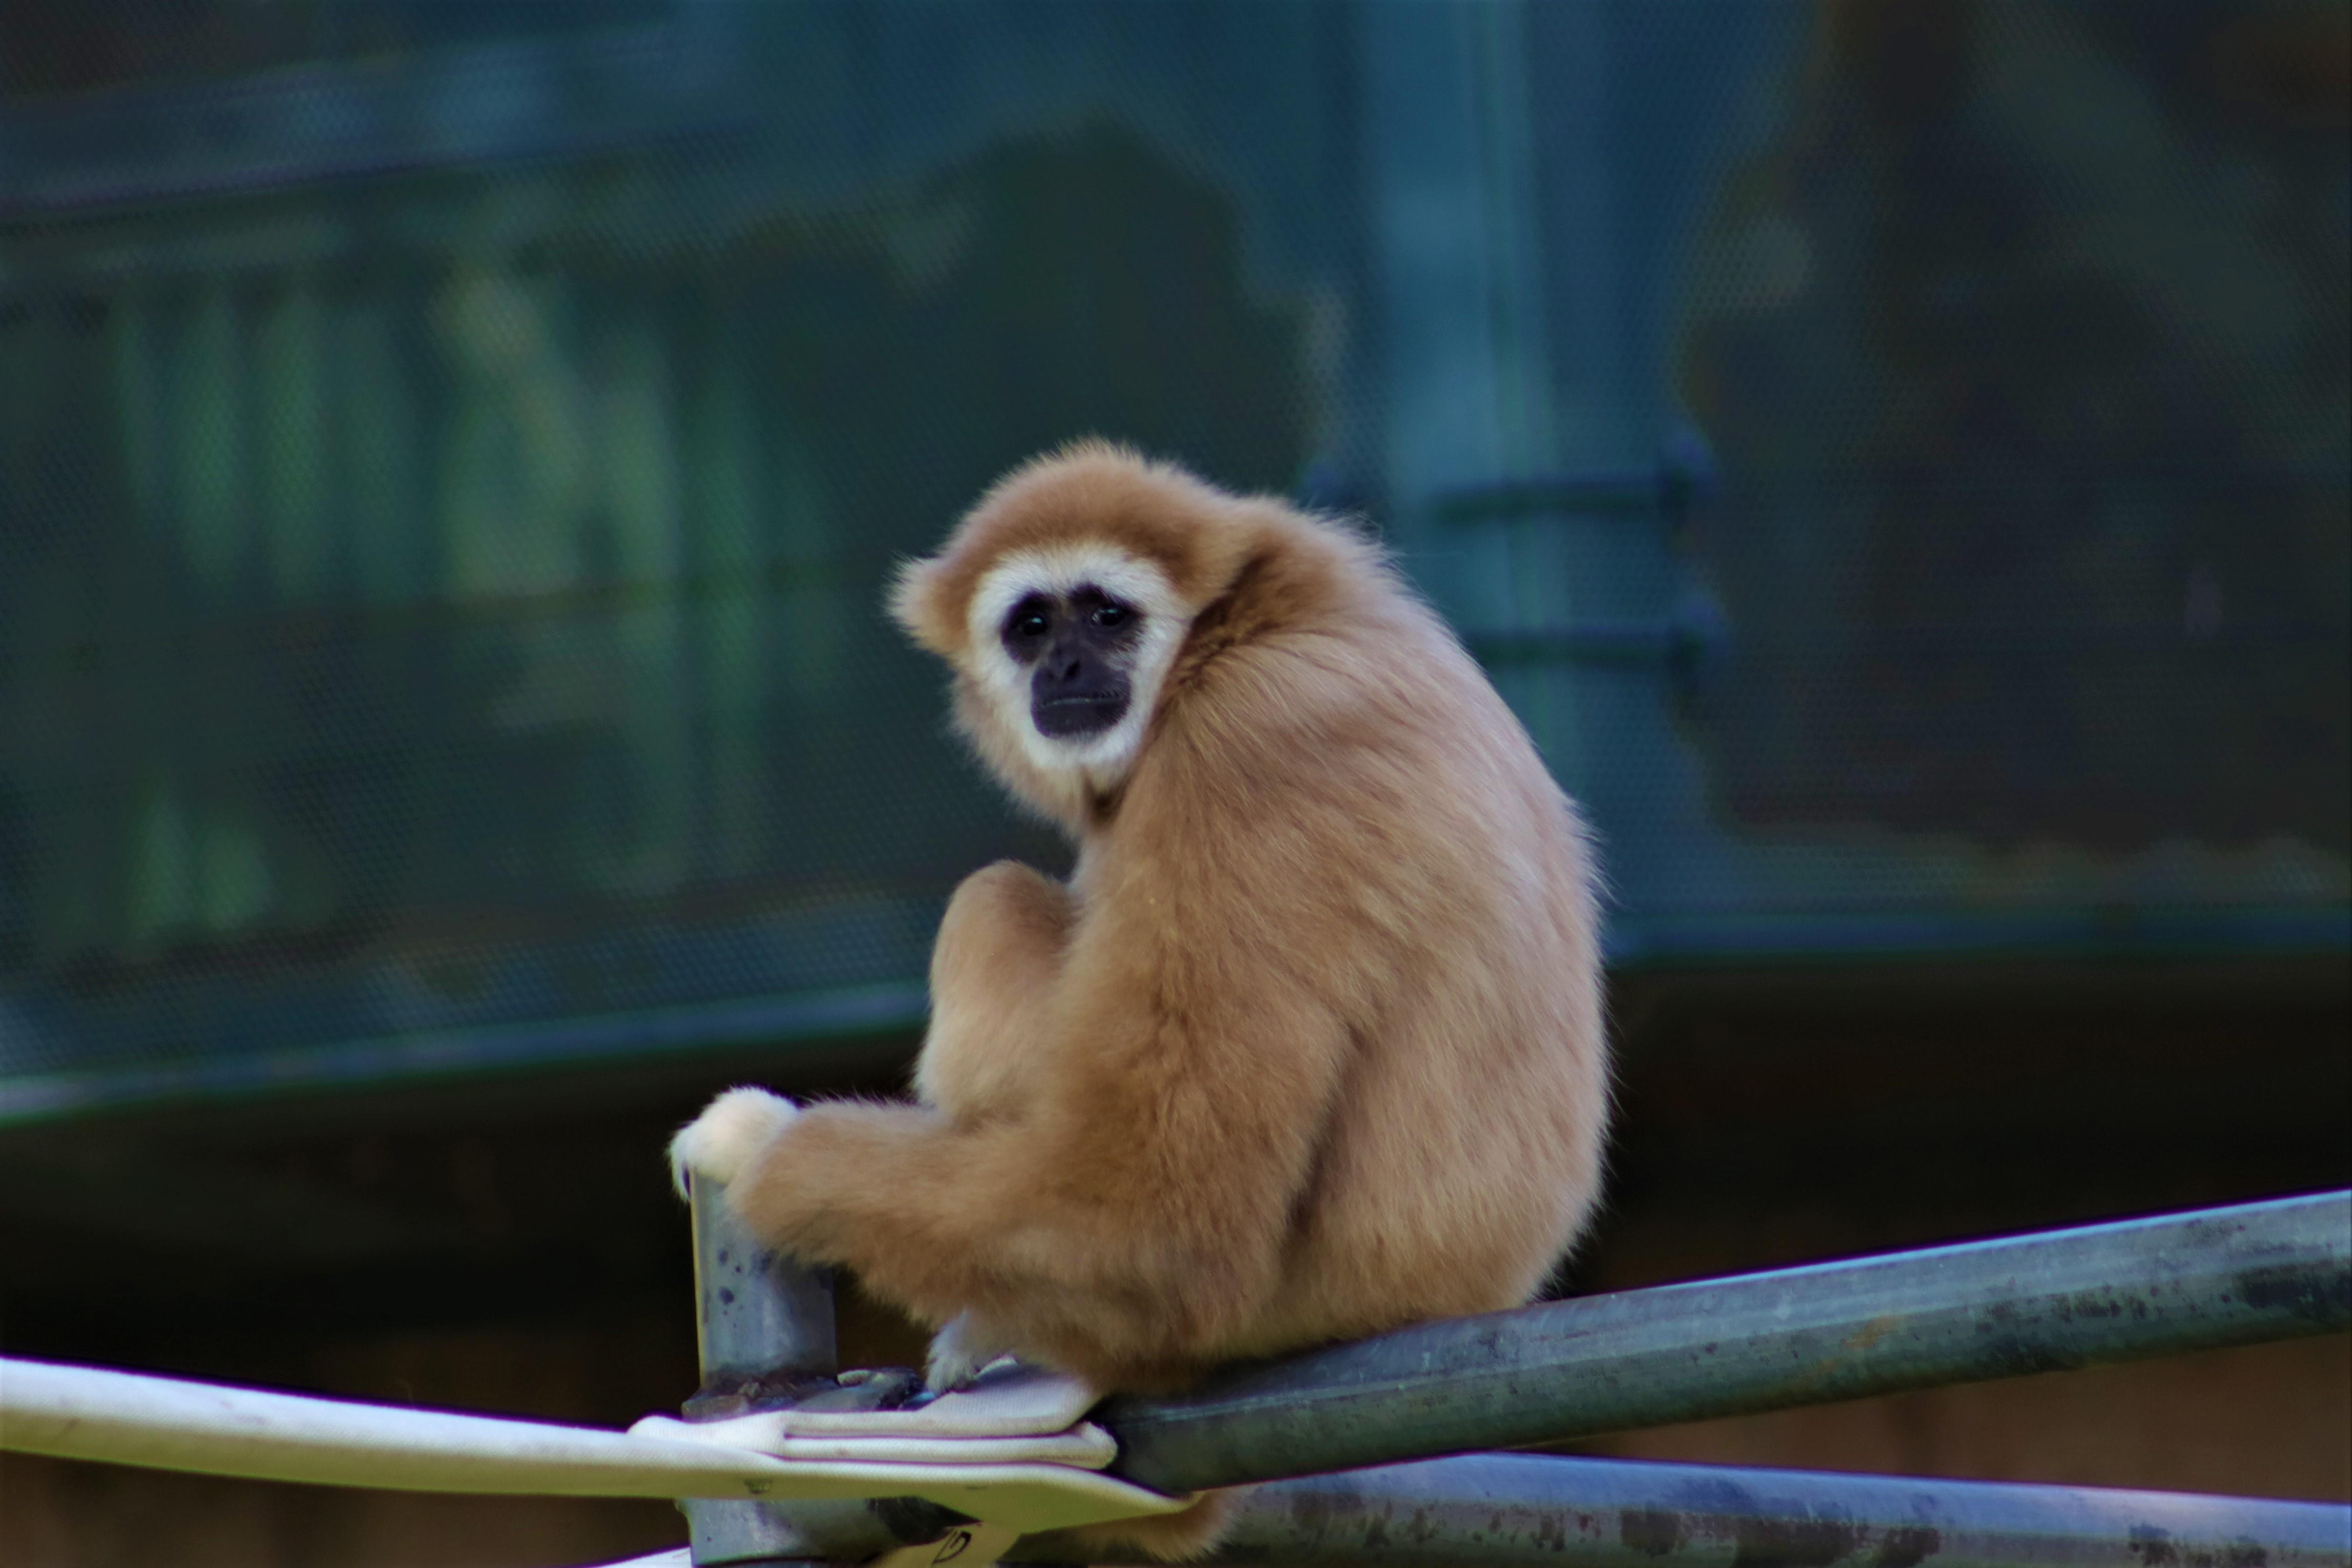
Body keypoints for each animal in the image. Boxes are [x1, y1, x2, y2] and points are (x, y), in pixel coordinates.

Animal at [669, 442, 1609, 1557]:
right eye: (1032, 624)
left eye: (1106, 615)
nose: (1067, 667)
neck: (1248, 630)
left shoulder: (1248, 749)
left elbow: (1146, 1211)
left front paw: (756, 1142)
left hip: (1308, 1298)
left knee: (993, 899)